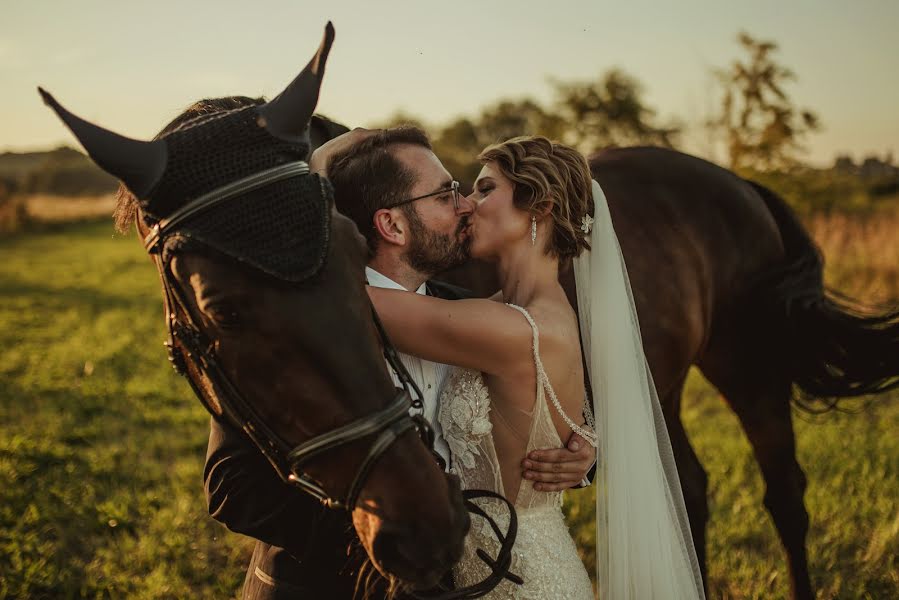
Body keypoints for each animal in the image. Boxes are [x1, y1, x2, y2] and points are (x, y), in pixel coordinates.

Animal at [432, 144, 896, 596]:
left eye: (485, 190)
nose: (465, 211)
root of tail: (743, 185)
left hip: (749, 374)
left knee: (785, 494)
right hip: (657, 390)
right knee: (688, 489)